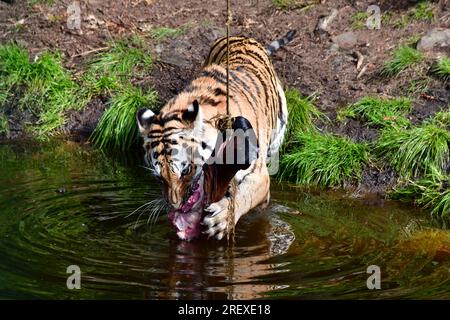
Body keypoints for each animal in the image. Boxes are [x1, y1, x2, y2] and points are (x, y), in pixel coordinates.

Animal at [139, 30, 298, 241]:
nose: (176, 206)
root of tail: (244, 37)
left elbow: (246, 194)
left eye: (185, 170)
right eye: (159, 178)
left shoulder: (259, 175)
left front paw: (220, 219)